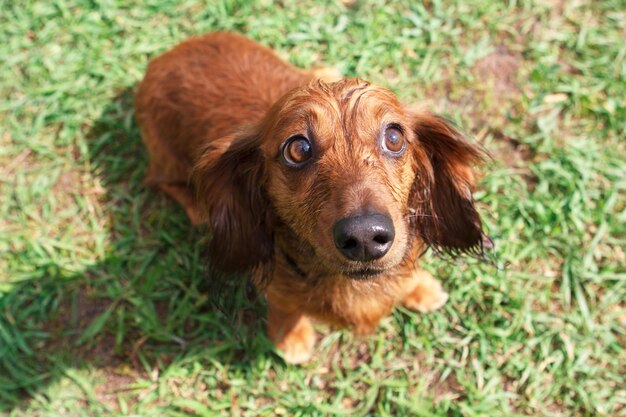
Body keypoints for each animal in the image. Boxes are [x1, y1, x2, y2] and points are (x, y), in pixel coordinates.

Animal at [135, 32, 488, 362]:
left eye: (393, 137)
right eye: (298, 148)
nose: (365, 237)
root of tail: (167, 56)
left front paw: (419, 286)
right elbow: (285, 305)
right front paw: (290, 338)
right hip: (166, 161)